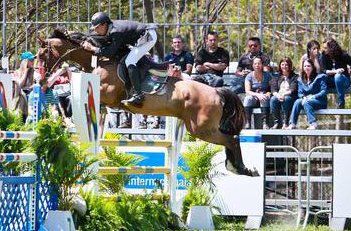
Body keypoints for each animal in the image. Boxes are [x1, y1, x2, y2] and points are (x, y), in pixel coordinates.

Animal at [36, 28, 258, 176]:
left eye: (41, 54)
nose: (41, 81)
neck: (102, 61)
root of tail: (217, 92)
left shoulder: (106, 93)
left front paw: (67, 119)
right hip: (200, 127)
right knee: (231, 138)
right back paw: (238, 167)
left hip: (201, 129)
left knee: (231, 139)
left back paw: (240, 168)